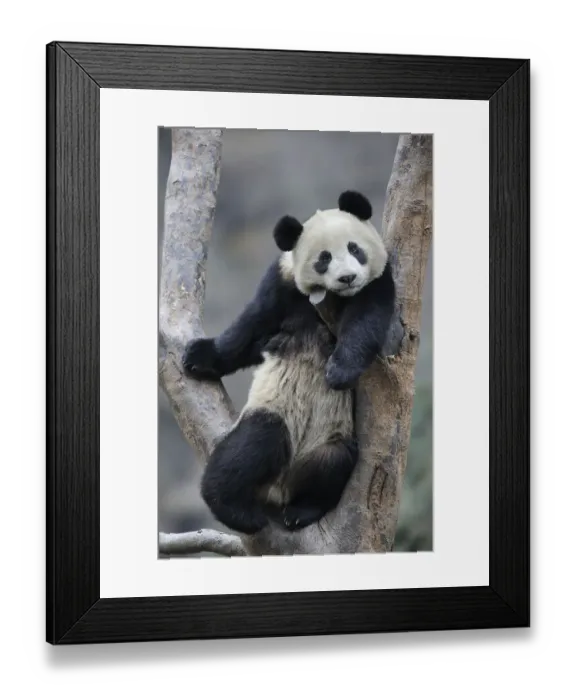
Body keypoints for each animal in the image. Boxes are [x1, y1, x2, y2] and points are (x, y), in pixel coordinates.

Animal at [182, 190, 396, 535]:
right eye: (324, 258)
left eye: (355, 249)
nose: (347, 278)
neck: (332, 297)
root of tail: (281, 489)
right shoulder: (281, 283)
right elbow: (252, 326)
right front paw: (200, 357)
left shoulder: (377, 282)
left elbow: (366, 322)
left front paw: (339, 371)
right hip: (274, 413)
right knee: (253, 445)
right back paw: (237, 511)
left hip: (330, 439)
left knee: (334, 463)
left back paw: (301, 511)